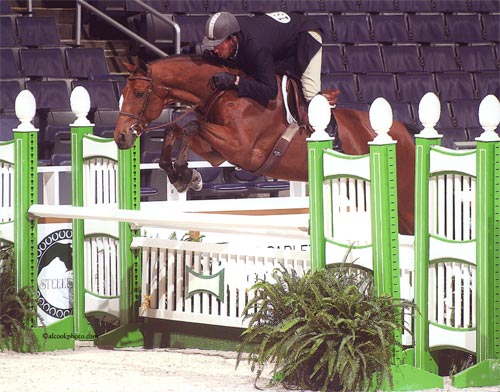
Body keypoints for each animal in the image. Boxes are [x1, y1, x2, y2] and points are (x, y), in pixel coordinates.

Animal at [115, 53, 416, 234]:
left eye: (139, 93)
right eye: (123, 93)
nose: (121, 137)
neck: (226, 92)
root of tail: (403, 131)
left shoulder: (243, 149)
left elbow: (189, 126)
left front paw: (184, 175)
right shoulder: (215, 152)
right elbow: (176, 129)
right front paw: (186, 175)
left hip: (404, 199)